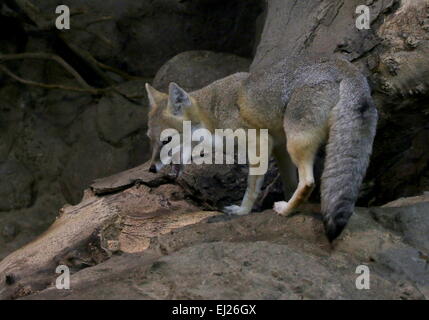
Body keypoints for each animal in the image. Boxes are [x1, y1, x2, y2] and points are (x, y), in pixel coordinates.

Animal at [145, 58, 376, 242]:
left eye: (166, 140)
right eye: (151, 140)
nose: (151, 169)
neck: (212, 112)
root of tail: (343, 66)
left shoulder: (260, 143)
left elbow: (251, 187)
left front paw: (242, 211)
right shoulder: (279, 148)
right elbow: (289, 183)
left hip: (296, 143)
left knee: (309, 182)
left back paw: (285, 210)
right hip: (294, 145)